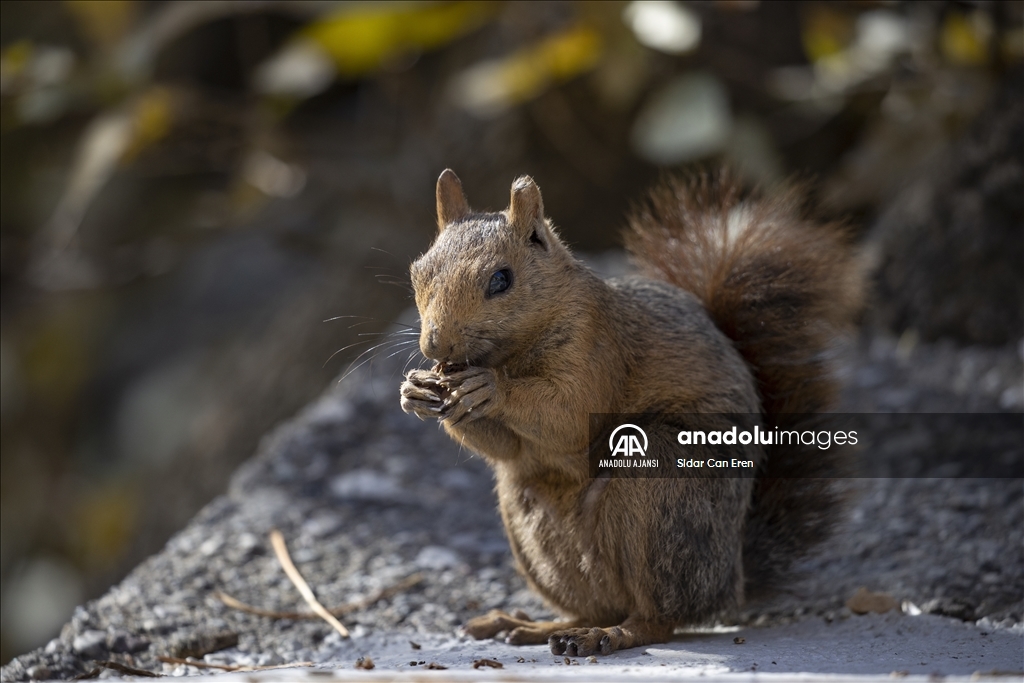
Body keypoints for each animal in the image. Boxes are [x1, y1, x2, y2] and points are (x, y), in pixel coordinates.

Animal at [399, 169, 864, 655]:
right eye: (418, 271)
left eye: (501, 280)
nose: (435, 345)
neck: (513, 351)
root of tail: (729, 583)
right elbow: (507, 449)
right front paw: (415, 391)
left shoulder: (598, 347)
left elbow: (569, 415)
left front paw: (490, 387)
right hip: (529, 524)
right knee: (594, 604)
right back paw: (536, 627)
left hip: (660, 487)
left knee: (657, 619)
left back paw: (611, 634)